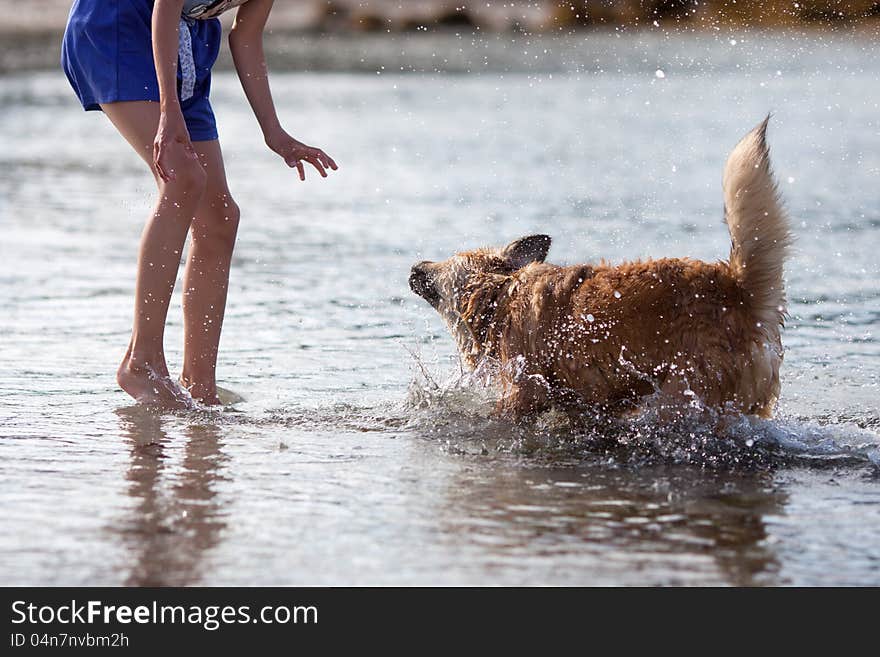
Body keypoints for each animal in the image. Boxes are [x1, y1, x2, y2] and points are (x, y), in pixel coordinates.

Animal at [410, 116, 796, 420]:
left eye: (443, 263)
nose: (415, 267)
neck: (500, 295)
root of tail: (738, 288)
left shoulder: (525, 391)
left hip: (684, 396)